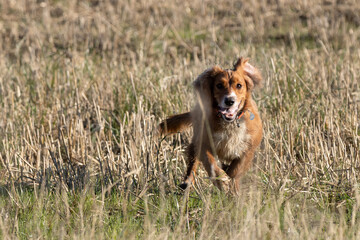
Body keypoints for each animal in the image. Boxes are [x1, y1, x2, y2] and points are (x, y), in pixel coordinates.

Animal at [159, 58, 262, 195]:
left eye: (239, 85)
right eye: (219, 85)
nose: (229, 101)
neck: (229, 124)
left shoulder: (248, 149)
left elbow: (236, 170)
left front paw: (233, 189)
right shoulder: (204, 143)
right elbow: (211, 164)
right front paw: (222, 181)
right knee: (192, 165)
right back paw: (187, 184)